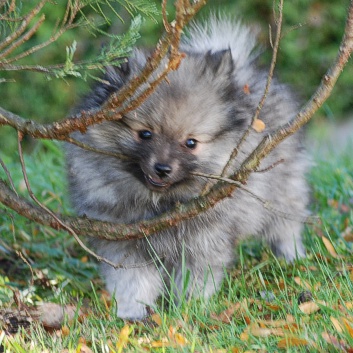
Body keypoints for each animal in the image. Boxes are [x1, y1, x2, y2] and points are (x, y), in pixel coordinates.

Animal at [66, 17, 308, 320]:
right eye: (145, 134)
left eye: (190, 143)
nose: (162, 168)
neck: (161, 206)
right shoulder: (125, 243)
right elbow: (133, 282)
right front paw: (132, 313)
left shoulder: (203, 242)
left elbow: (195, 280)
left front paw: (188, 311)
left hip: (282, 192)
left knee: (286, 225)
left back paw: (292, 257)